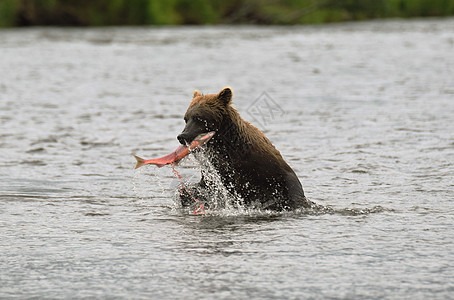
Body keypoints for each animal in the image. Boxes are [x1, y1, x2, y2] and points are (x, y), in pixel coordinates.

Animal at [176, 86, 312, 210]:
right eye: (186, 119)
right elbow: (205, 185)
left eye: (199, 118)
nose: (182, 136)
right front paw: (186, 192)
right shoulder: (215, 165)